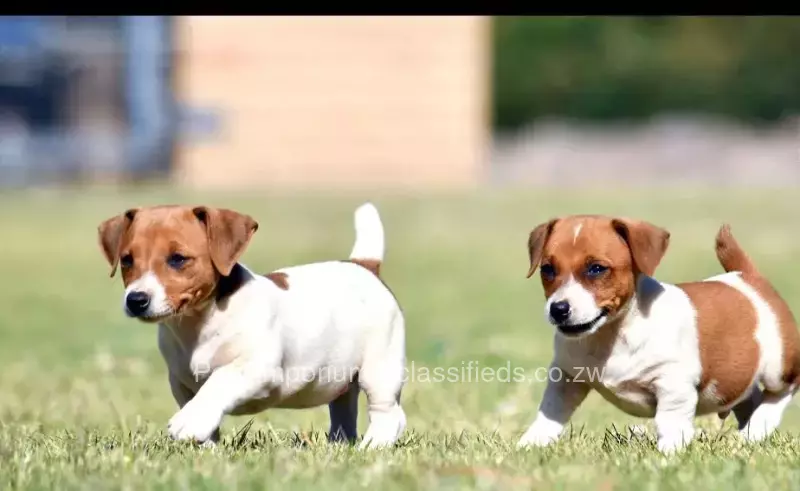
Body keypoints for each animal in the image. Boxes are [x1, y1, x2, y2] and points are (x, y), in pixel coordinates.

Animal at [97, 203, 406, 450]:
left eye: (177, 259)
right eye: (126, 260)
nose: (136, 300)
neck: (199, 322)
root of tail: (363, 265)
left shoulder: (257, 367)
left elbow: (218, 382)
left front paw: (191, 422)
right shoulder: (181, 381)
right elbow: (199, 405)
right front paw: (206, 448)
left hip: (380, 368)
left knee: (389, 412)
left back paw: (373, 446)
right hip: (341, 375)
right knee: (344, 409)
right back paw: (339, 444)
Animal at [516, 217, 796, 456]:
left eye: (596, 269)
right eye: (547, 269)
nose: (558, 309)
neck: (610, 334)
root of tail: (747, 277)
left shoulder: (673, 384)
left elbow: (669, 421)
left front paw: (669, 452)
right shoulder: (565, 377)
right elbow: (549, 413)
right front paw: (531, 444)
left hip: (778, 367)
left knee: (782, 392)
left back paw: (757, 426)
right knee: (749, 397)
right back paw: (750, 435)